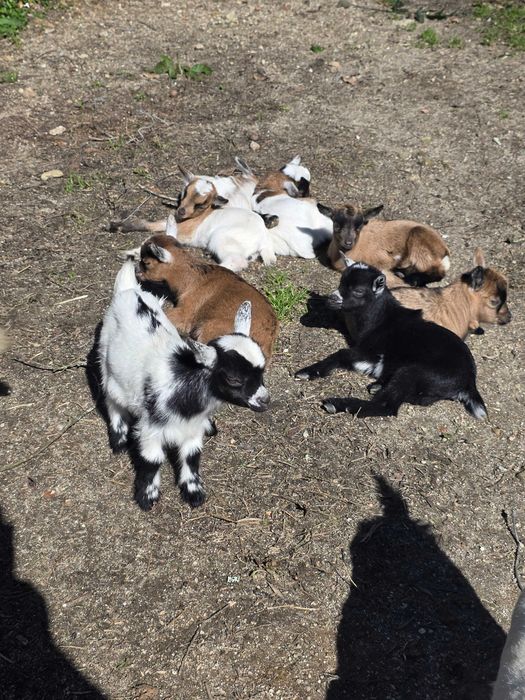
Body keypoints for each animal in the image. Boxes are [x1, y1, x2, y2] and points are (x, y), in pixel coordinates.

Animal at [98, 261, 270, 510]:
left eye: (262, 370)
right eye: (234, 379)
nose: (265, 401)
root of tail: (129, 291)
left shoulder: (192, 428)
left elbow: (192, 457)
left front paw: (194, 492)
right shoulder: (151, 429)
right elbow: (152, 461)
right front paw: (147, 497)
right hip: (105, 360)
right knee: (111, 398)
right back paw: (119, 438)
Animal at [295, 262, 486, 419]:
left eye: (358, 291)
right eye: (341, 283)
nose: (331, 299)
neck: (380, 319)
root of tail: (469, 382)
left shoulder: (373, 353)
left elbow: (342, 353)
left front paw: (305, 372)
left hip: (414, 373)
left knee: (387, 406)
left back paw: (337, 404)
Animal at [321, 203, 450, 285]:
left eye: (359, 226)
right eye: (336, 224)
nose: (348, 242)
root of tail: (444, 251)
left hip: (419, 238)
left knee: (438, 273)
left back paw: (412, 279)